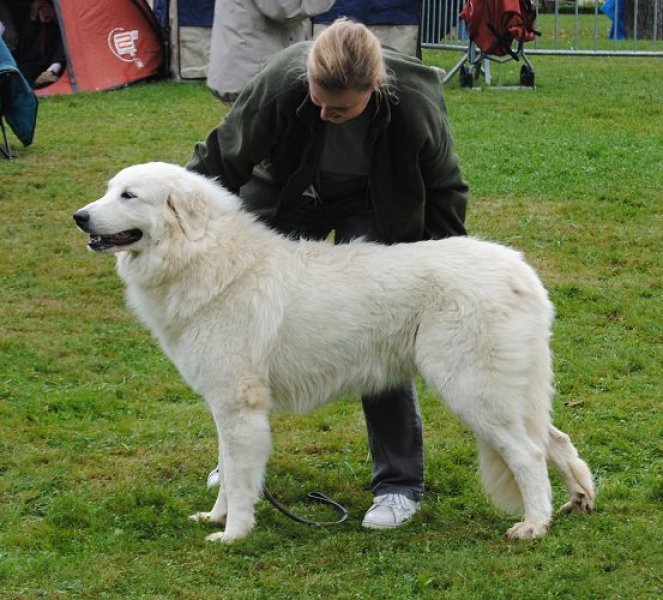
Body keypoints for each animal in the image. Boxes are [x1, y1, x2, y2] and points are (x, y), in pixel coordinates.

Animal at [74, 162, 596, 540]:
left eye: (129, 195)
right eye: (109, 189)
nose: (79, 217)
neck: (205, 257)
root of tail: (519, 270)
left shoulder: (240, 408)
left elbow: (240, 479)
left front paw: (233, 535)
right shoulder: (224, 406)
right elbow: (228, 469)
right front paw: (215, 518)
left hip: (472, 391)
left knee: (528, 454)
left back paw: (534, 526)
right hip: (507, 392)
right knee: (554, 440)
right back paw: (579, 500)